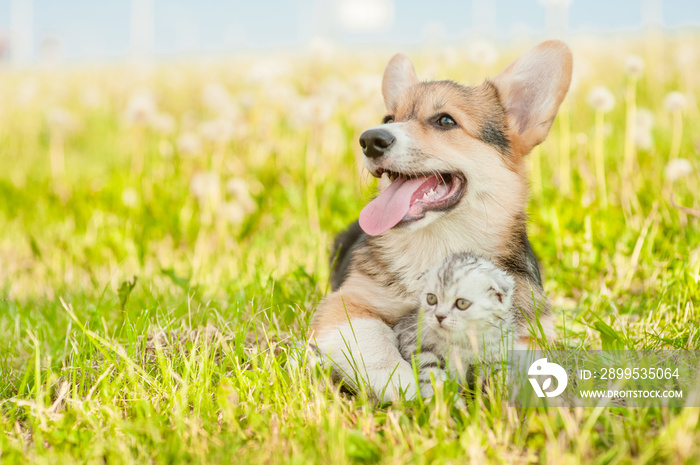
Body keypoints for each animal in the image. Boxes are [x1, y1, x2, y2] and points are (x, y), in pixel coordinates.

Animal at [396, 252, 516, 396]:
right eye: (431, 298)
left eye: (462, 303)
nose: (439, 316)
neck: (460, 342)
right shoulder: (414, 343)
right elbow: (431, 372)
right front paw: (440, 397)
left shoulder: (496, 352)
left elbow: (498, 376)